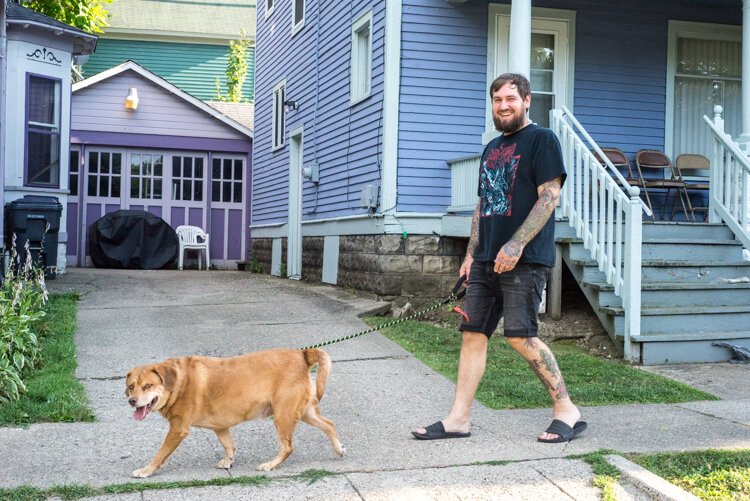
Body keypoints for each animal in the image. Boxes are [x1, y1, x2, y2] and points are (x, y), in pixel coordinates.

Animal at [125, 348, 344, 476]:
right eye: (131, 386)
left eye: (147, 386)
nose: (131, 401)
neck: (179, 382)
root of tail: (302, 354)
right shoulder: (220, 427)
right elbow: (228, 445)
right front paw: (228, 461)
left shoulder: (178, 429)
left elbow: (161, 453)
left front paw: (147, 470)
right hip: (304, 412)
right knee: (330, 424)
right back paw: (339, 449)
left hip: (283, 415)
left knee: (288, 447)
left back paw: (271, 465)